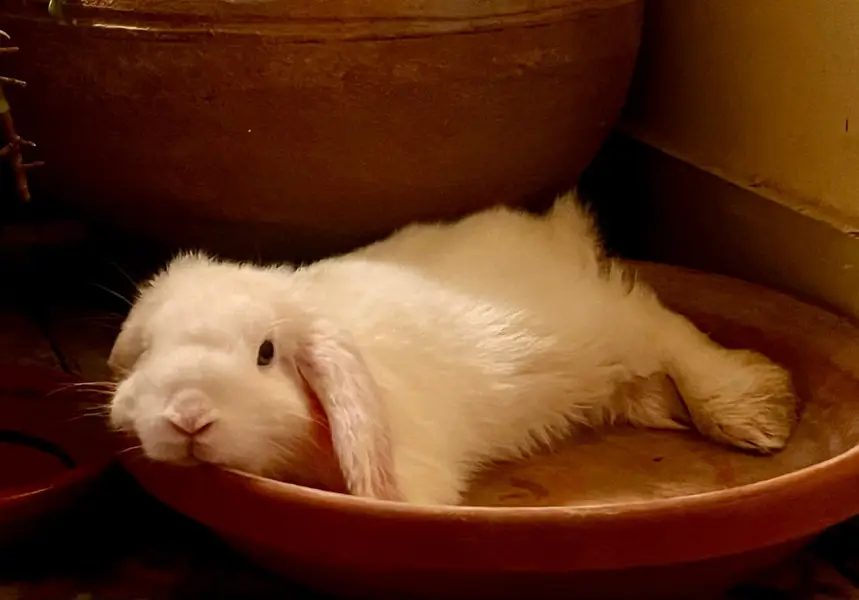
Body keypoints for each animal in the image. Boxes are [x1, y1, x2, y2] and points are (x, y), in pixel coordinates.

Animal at [107, 191, 799, 506]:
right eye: (150, 348)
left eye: (266, 353)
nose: (188, 414)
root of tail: (556, 236)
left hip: (610, 324)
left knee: (670, 333)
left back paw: (756, 415)